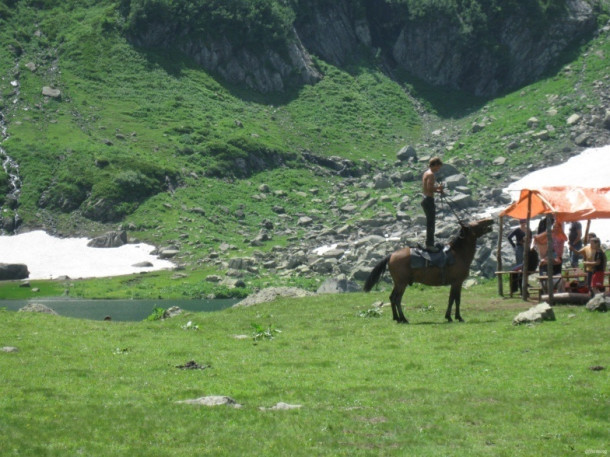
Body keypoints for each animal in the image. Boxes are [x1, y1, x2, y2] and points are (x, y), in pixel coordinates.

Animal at [364, 218, 492, 322]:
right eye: (476, 223)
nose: (490, 220)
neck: (459, 254)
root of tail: (391, 255)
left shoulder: (455, 283)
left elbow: (452, 299)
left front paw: (450, 316)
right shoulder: (457, 282)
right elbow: (456, 299)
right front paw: (457, 317)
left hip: (398, 283)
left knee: (392, 298)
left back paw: (396, 318)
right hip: (402, 283)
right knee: (397, 299)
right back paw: (403, 318)